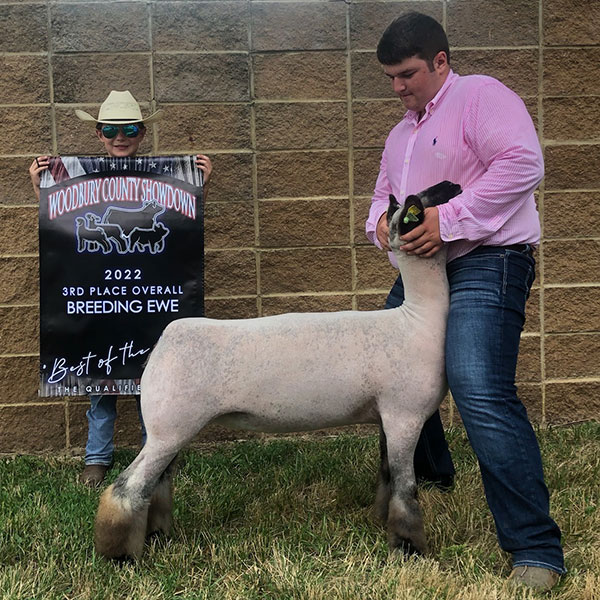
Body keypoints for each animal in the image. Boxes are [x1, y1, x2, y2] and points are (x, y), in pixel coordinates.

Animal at [94, 179, 462, 564]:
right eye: (428, 198)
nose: (454, 185)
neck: (417, 319)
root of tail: (163, 342)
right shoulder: (405, 415)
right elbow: (406, 489)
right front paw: (409, 550)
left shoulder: (385, 416)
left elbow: (387, 474)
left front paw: (382, 522)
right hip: (169, 428)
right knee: (127, 487)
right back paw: (119, 556)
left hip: (169, 429)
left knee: (159, 482)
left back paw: (159, 536)